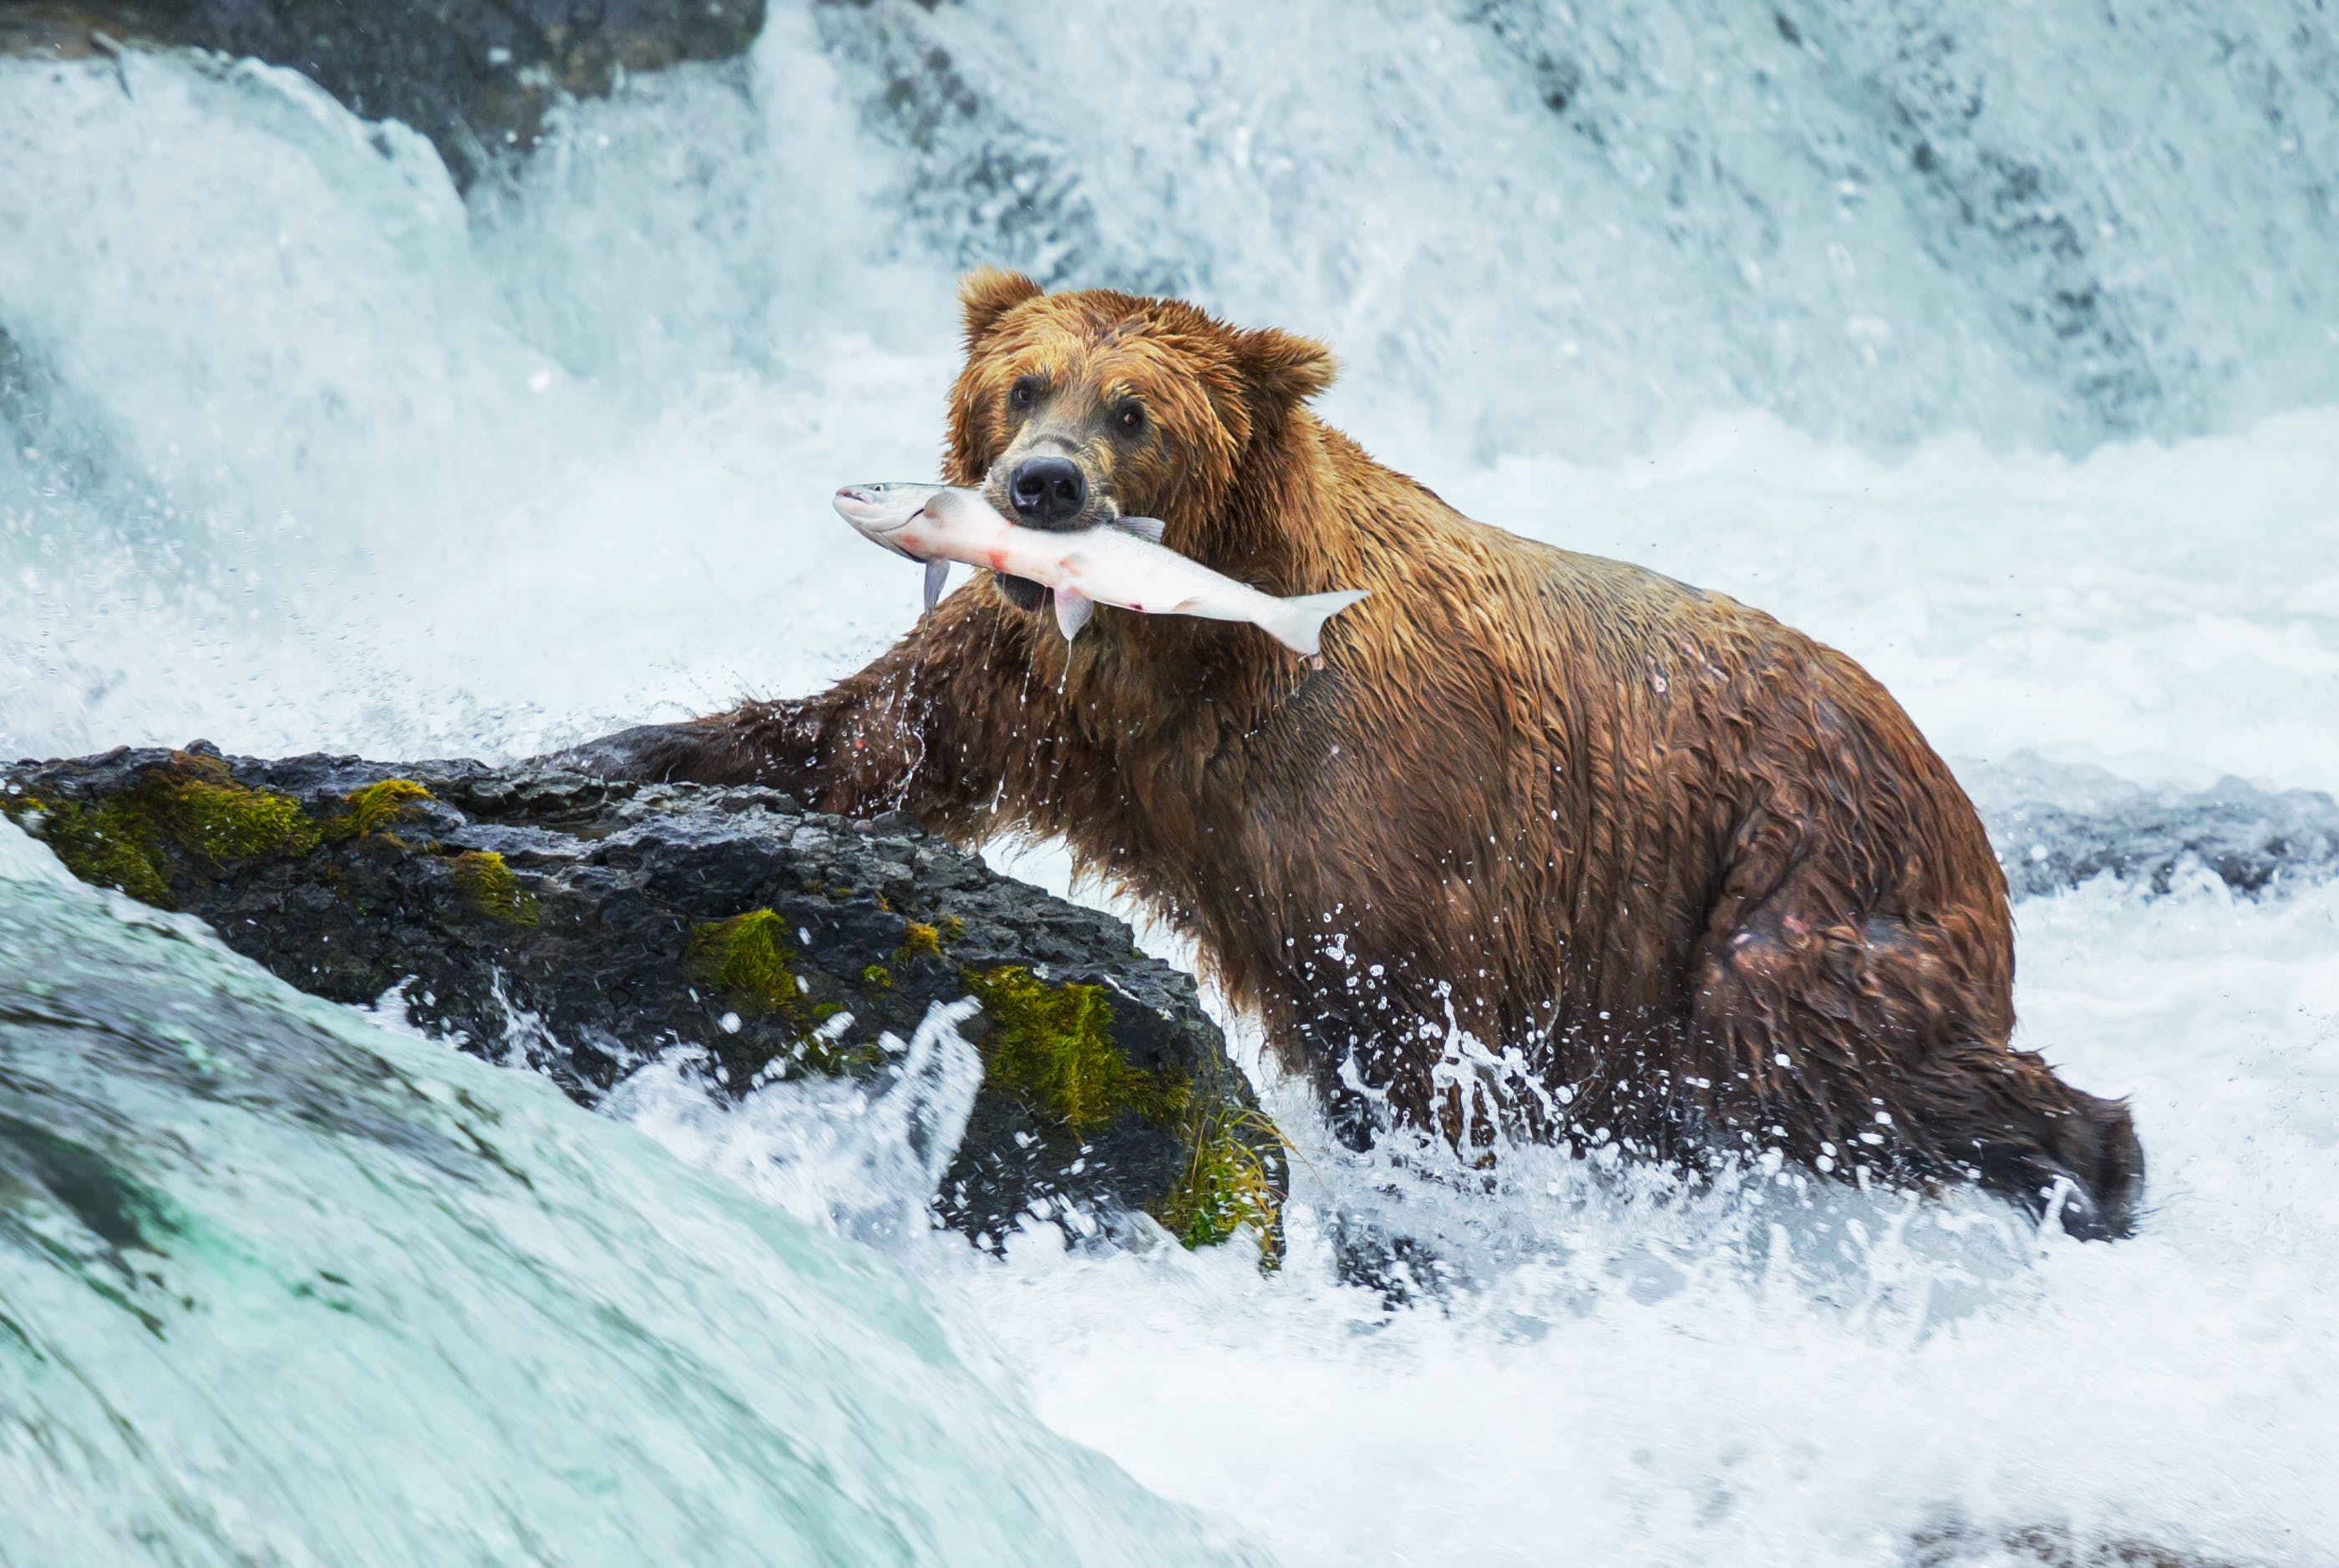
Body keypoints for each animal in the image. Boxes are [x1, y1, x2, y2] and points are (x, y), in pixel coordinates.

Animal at [575, 276, 2142, 1245]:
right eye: (1023, 384)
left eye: (1134, 408)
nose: (1042, 487)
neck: (1189, 647)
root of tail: (1942, 772)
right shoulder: (1045, 690)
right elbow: (871, 737)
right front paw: (625, 745)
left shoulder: (1379, 789)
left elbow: (1402, 1018)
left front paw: (1423, 1207)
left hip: (1787, 868)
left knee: (1806, 1046)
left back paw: (2096, 1161)